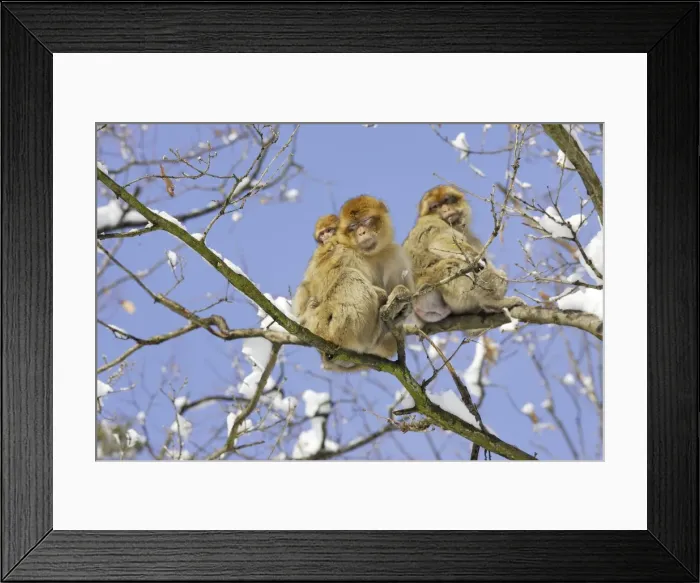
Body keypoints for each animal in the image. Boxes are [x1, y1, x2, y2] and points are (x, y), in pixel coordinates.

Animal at [293, 195, 414, 371]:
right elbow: (322, 284)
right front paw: (384, 296)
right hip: (327, 325)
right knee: (348, 276)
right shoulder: (338, 250)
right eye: (353, 226)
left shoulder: (394, 253)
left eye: (367, 221)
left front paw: (402, 298)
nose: (361, 232)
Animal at [403, 185, 524, 323]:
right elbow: (439, 244)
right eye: (435, 206)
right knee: (458, 264)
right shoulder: (432, 222)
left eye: (447, 200)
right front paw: (476, 260)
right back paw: (492, 302)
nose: (445, 209)